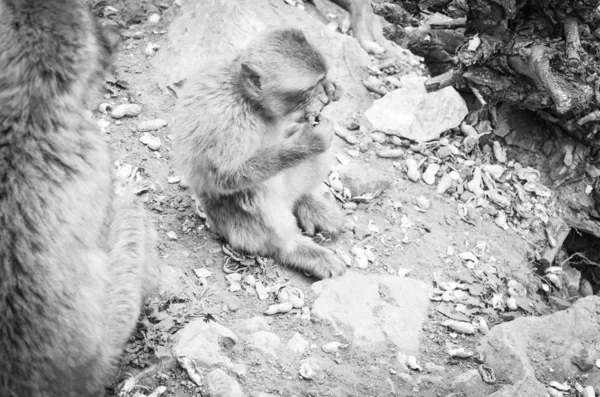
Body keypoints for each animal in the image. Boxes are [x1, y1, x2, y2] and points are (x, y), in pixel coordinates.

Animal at [172, 27, 346, 278]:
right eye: (308, 89)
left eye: (319, 81)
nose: (322, 96)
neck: (248, 101)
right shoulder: (228, 122)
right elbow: (226, 177)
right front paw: (307, 142)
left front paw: (332, 88)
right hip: (234, 224)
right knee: (253, 191)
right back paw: (294, 249)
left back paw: (306, 202)